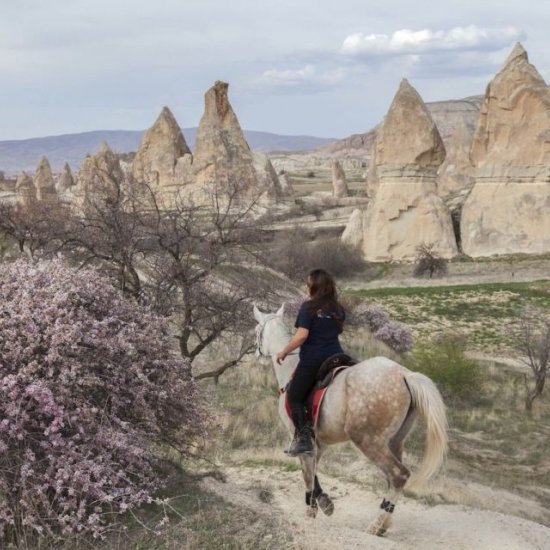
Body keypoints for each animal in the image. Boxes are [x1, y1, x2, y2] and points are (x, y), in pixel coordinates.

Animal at [254, 304, 448, 536]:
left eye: (256, 331)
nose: (257, 354)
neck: (291, 368)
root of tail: (404, 375)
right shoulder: (318, 443)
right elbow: (314, 472)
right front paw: (324, 503)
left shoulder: (300, 439)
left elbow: (308, 476)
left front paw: (313, 510)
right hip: (394, 442)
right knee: (393, 480)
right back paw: (384, 523)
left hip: (367, 440)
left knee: (398, 475)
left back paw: (374, 526)